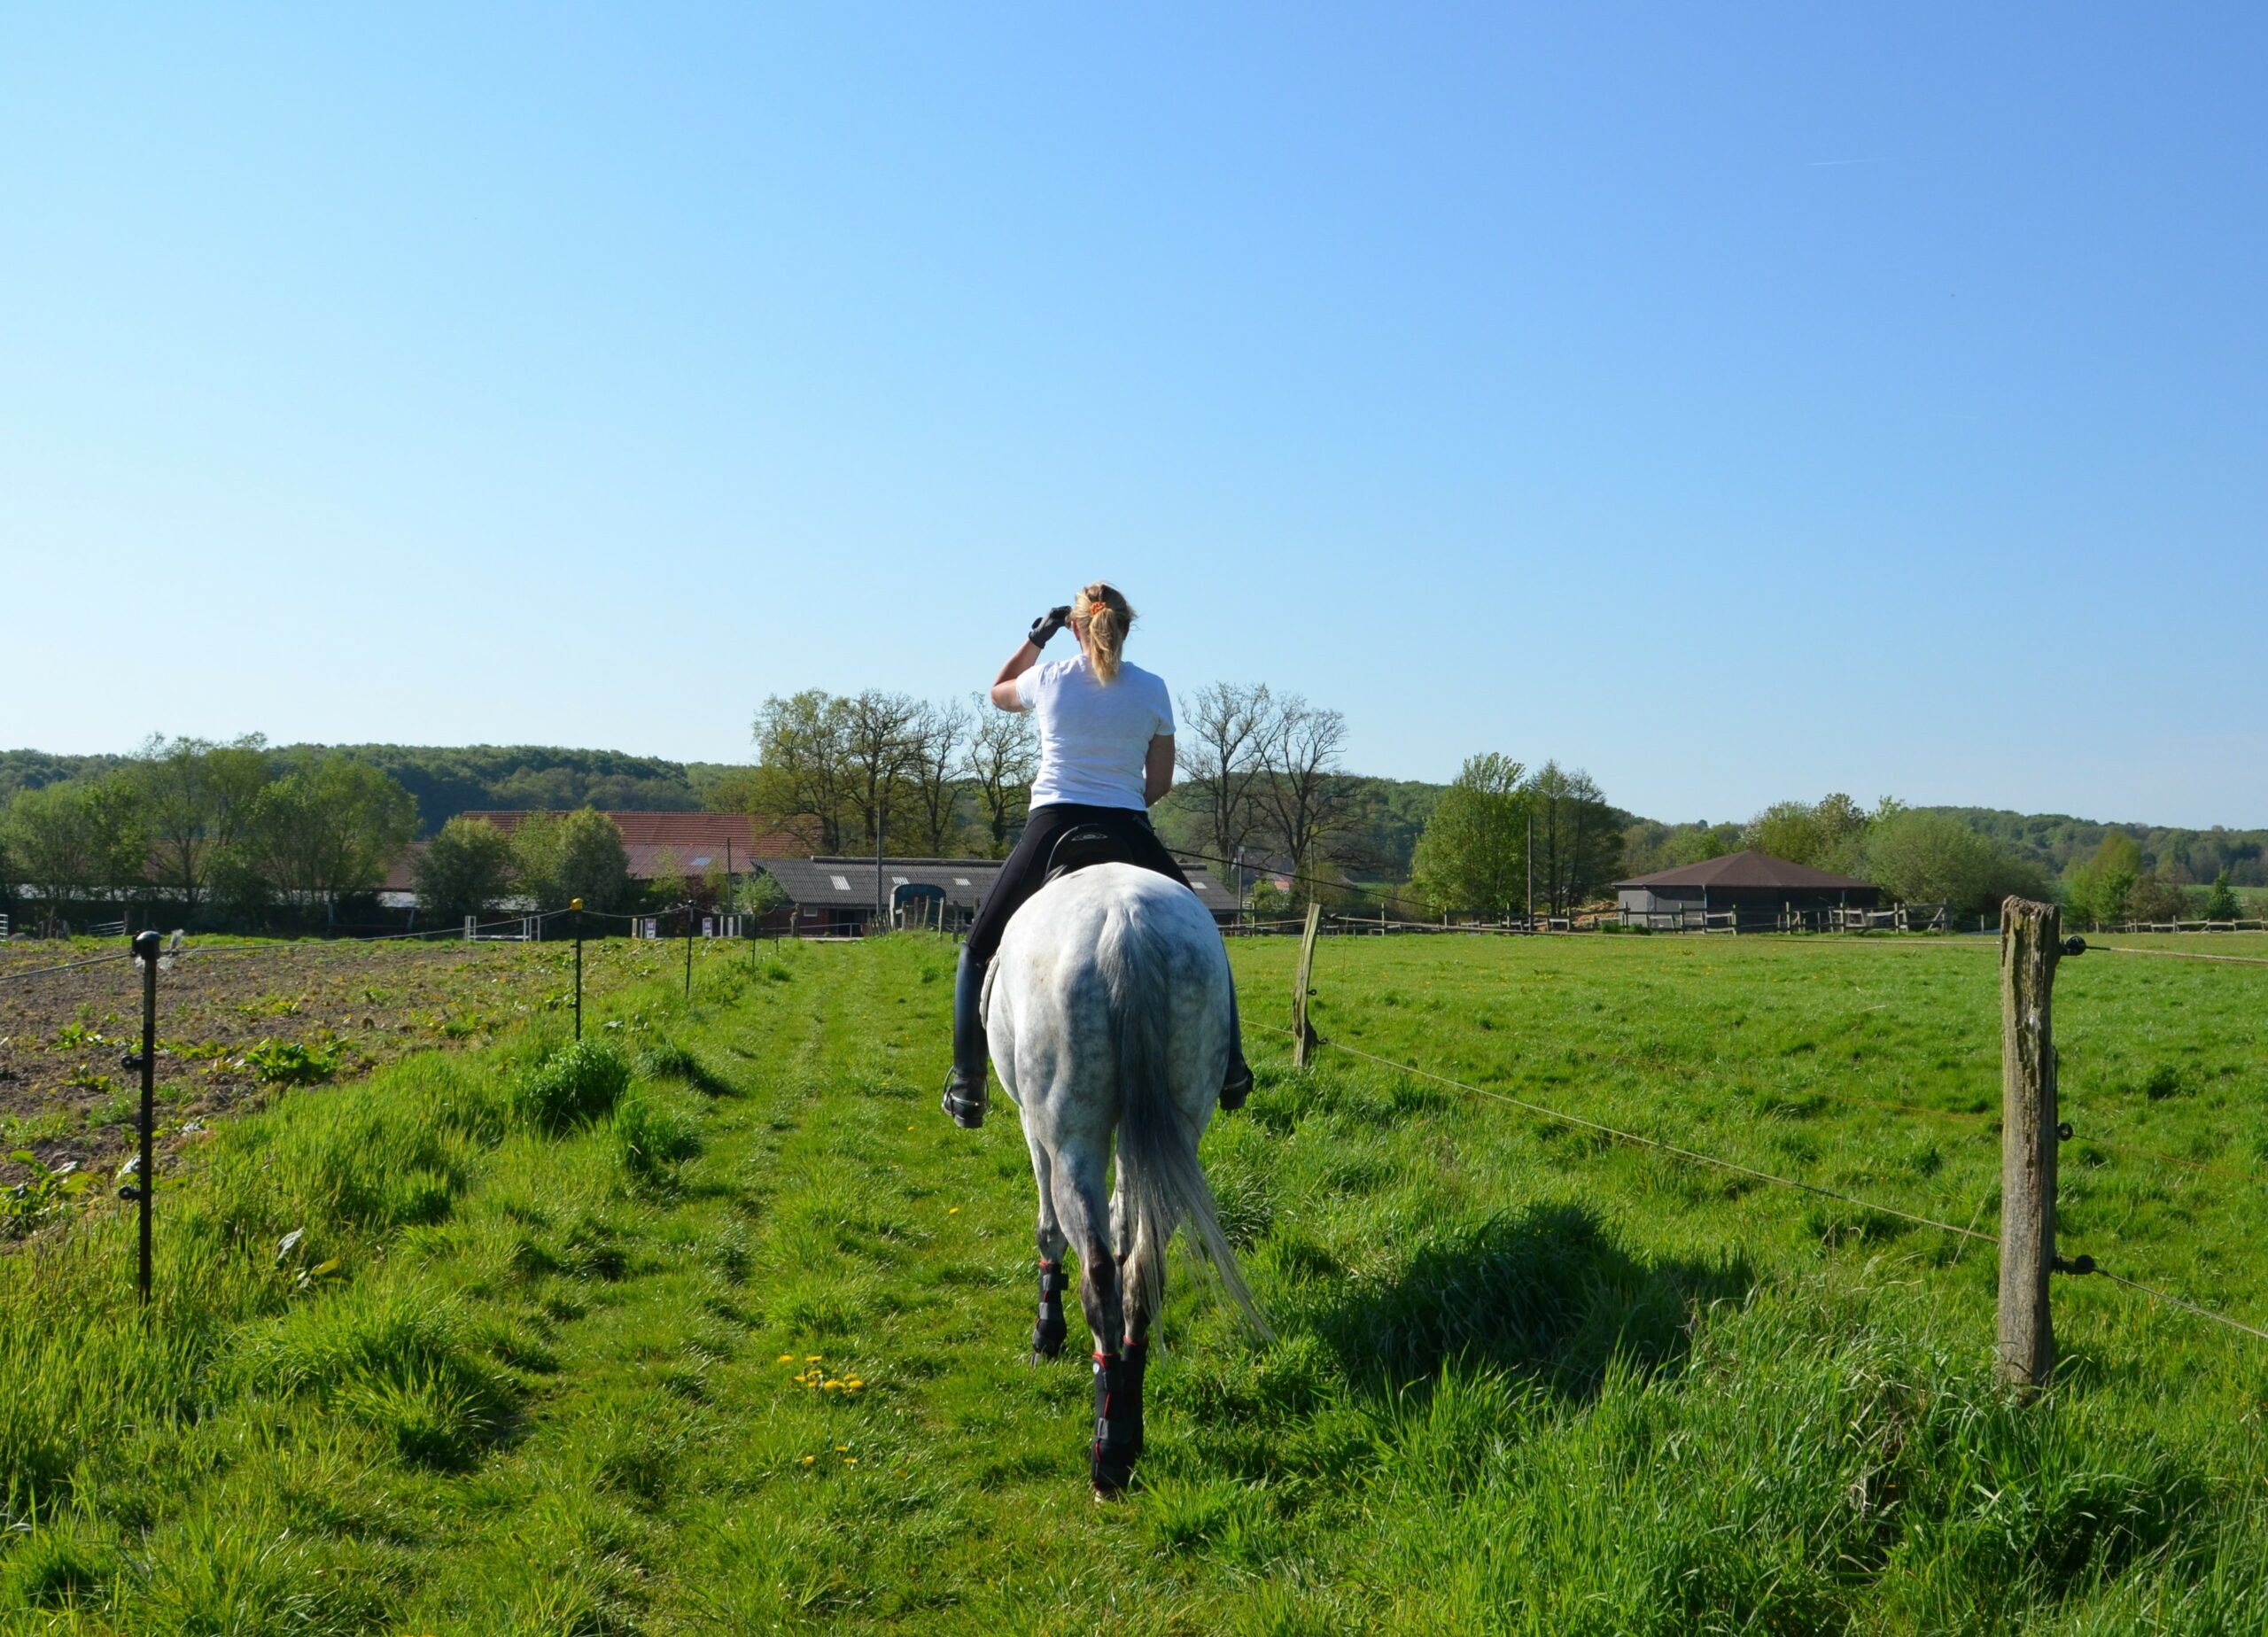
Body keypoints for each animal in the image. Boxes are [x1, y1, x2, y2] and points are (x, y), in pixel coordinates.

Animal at [989, 865, 1278, 1496]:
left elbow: (1049, 1231)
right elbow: (1125, 1226)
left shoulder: (1032, 1128)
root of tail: (1124, 924)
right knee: (1144, 1262)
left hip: (1070, 1138)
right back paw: (1126, 1426)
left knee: (1097, 1267)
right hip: (1181, 1119)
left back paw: (1108, 1449)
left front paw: (1046, 1334)